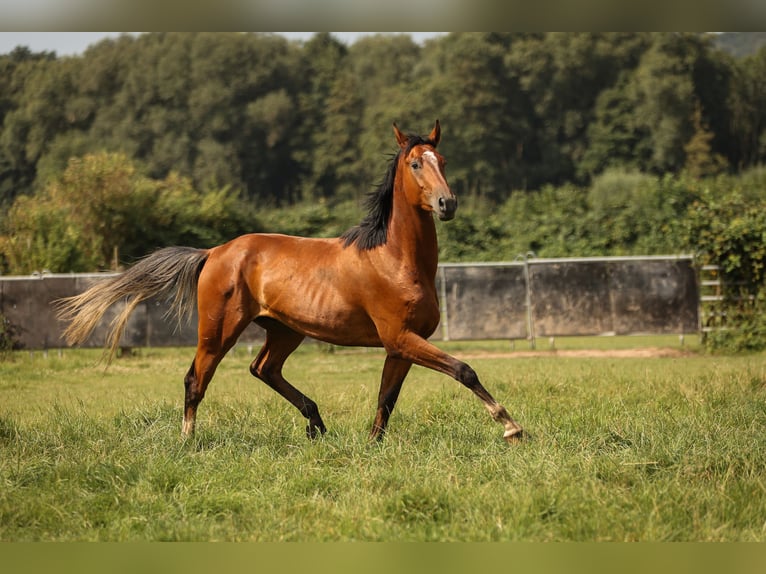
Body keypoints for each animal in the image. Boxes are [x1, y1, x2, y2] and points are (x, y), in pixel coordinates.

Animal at [57, 121, 528, 446]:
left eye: (442, 163)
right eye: (415, 163)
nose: (448, 204)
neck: (396, 260)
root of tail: (214, 252)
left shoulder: (400, 345)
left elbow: (386, 399)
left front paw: (372, 445)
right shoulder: (401, 337)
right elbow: (464, 370)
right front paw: (511, 427)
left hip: (284, 331)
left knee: (262, 368)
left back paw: (316, 422)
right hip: (219, 329)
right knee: (196, 379)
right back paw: (188, 441)